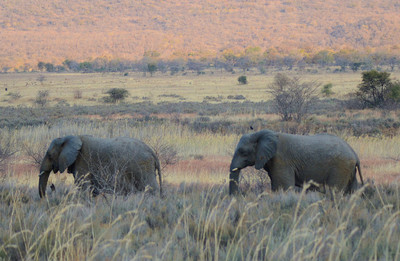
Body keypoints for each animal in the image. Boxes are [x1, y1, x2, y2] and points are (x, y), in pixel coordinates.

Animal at [228, 129, 362, 193]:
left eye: (243, 152)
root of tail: (355, 154)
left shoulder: (281, 160)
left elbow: (284, 187)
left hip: (341, 167)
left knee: (334, 193)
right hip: (348, 169)